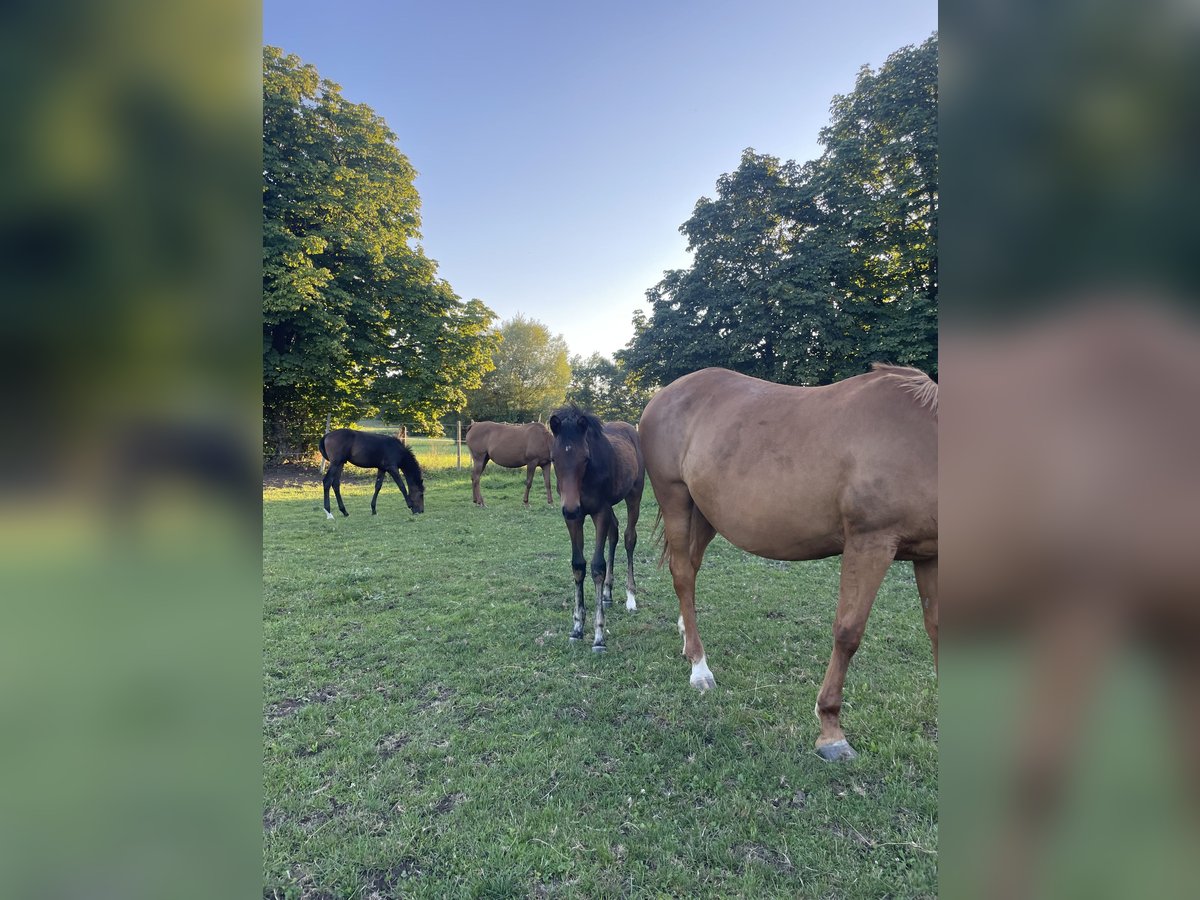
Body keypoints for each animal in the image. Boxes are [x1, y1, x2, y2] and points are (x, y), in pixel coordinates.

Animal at [549, 408, 648, 657]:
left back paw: (630, 598)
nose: (571, 508)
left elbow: (597, 567)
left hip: (634, 494)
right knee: (614, 533)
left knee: (629, 538)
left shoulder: (599, 512)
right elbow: (578, 565)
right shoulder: (574, 518)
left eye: (585, 457)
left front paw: (599, 636)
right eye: (554, 459)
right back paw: (606, 595)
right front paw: (576, 628)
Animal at [638, 364, 936, 763]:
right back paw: (700, 669)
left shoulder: (930, 555)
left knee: (690, 567)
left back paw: (688, 639)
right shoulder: (870, 543)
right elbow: (848, 632)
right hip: (675, 500)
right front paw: (831, 732)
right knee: (683, 575)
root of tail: (664, 394)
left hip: (704, 513)